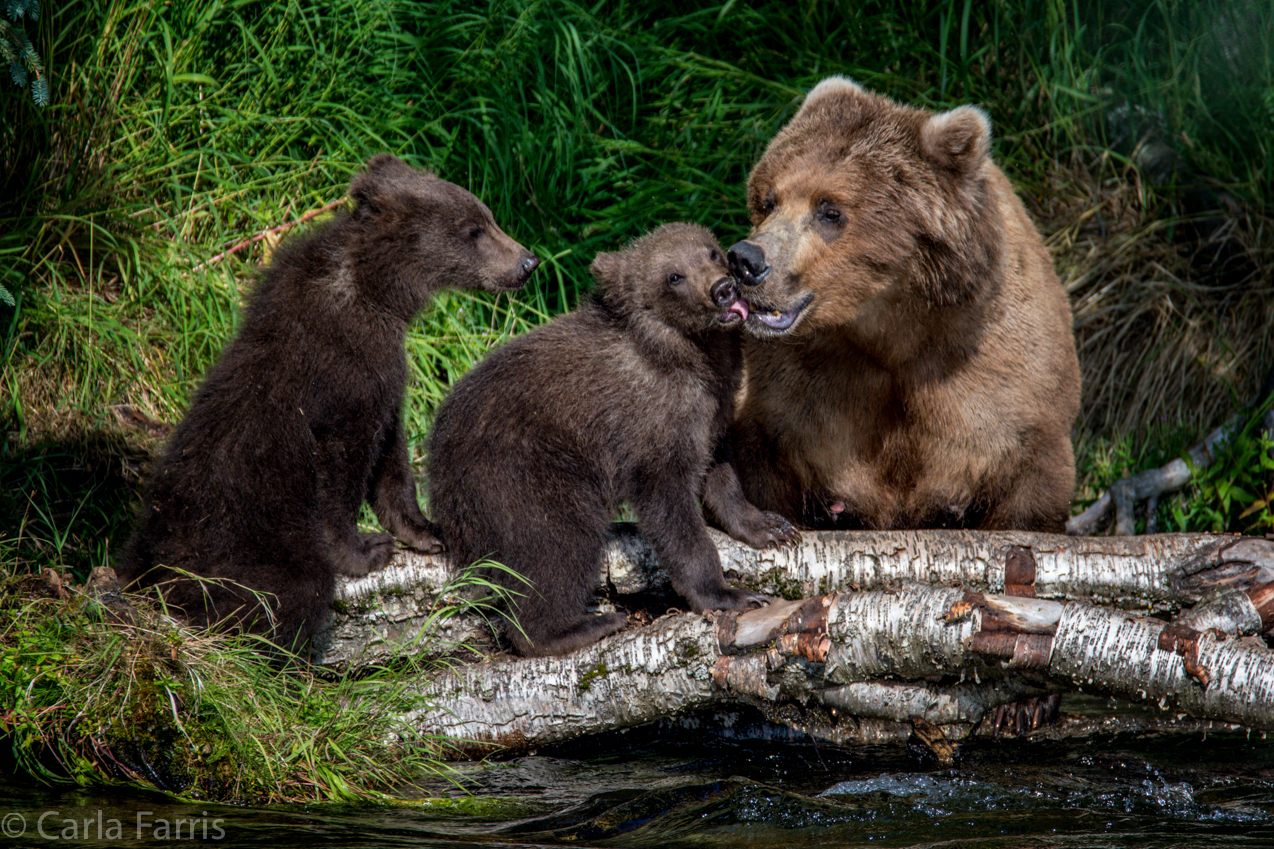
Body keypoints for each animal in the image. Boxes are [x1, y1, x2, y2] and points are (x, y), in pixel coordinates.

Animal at [728, 77, 1075, 530]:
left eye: (829, 210)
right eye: (768, 200)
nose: (746, 260)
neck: (892, 333)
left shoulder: (999, 380)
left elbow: (1027, 485)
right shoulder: (795, 392)